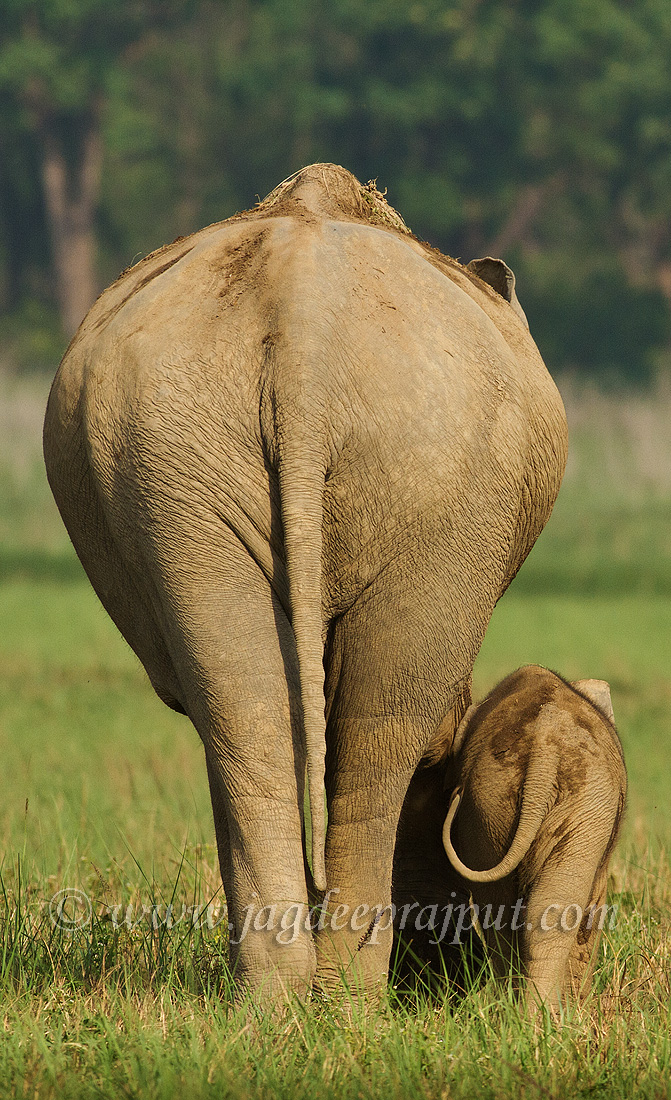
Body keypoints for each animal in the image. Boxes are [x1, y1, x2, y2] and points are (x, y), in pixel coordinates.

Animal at [43, 163, 567, 1002]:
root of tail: (301, 327)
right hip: (415, 476)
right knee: (373, 728)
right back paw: (342, 997)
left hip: (184, 466)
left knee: (246, 709)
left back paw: (282, 998)